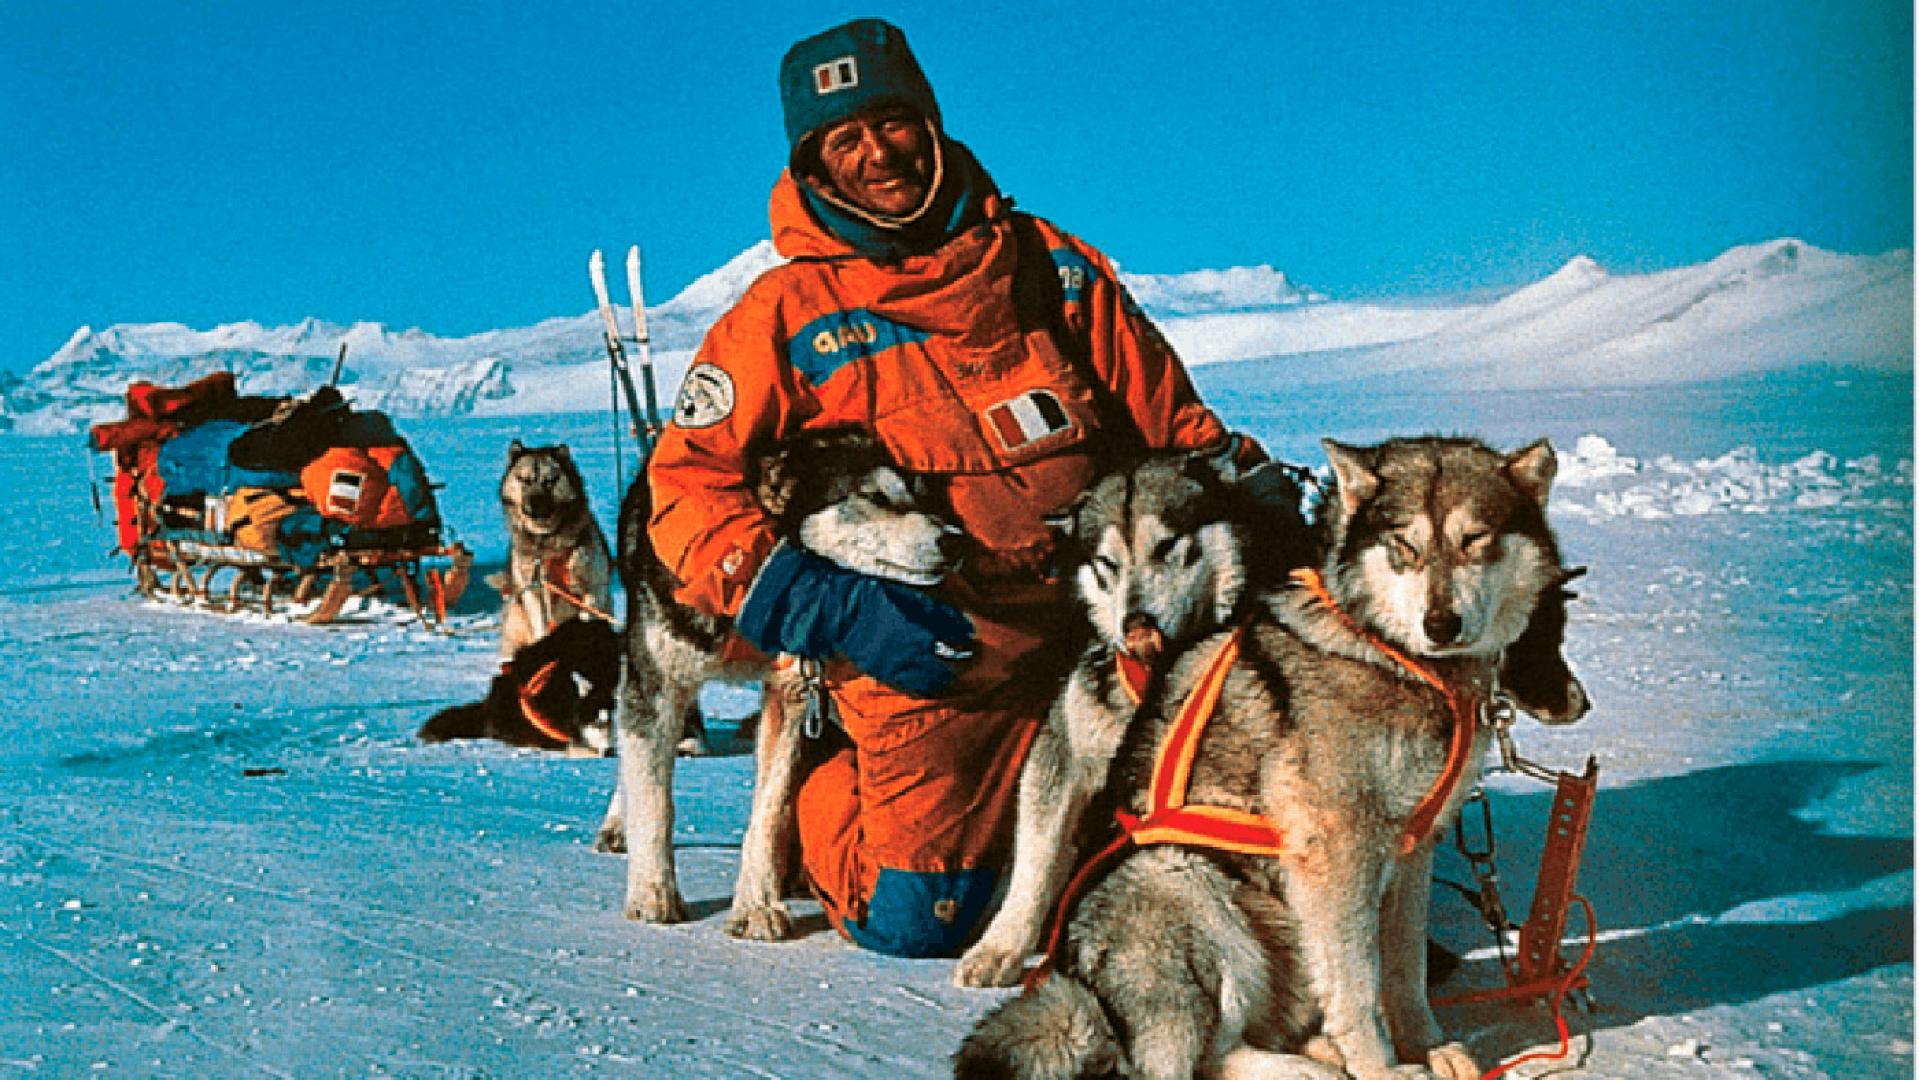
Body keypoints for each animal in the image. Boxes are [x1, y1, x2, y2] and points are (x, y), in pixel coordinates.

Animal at [491, 439, 610, 659]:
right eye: (524, 480)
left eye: (550, 481)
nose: (535, 505)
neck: (547, 541)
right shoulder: (535, 592)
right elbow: (541, 626)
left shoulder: (593, 588)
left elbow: (587, 612)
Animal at [594, 427, 967, 943]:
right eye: (874, 497)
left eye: (921, 495)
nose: (954, 542)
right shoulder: (659, 682)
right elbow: (655, 801)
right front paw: (652, 893)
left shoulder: (792, 694)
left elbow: (769, 812)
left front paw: (757, 906)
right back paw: (618, 823)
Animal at [955, 437, 1588, 1080]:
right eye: (1403, 545)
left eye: (1475, 540)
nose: (1441, 624)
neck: (1388, 651)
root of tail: (1088, 987)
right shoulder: (1339, 853)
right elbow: (1359, 989)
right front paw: (1382, 1068)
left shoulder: (1414, 849)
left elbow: (1403, 973)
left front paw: (1427, 1046)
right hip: (1190, 885)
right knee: (1205, 1058)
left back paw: (1322, 1053)